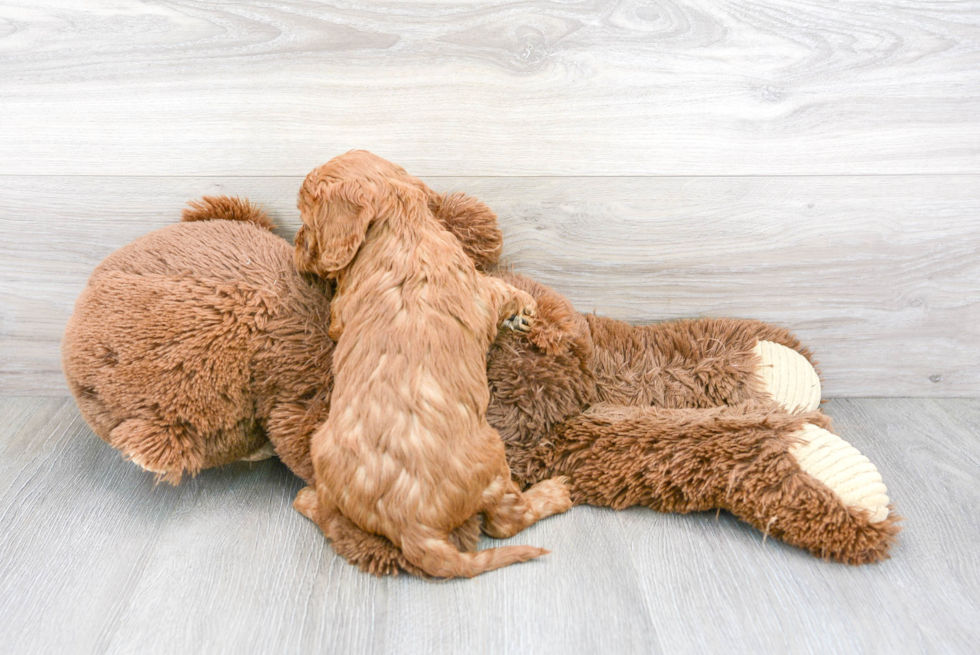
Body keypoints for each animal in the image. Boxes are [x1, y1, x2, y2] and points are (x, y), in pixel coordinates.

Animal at [290, 150, 576, 580]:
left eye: (306, 216)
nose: (294, 249)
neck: (403, 231)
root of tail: (412, 528)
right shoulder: (480, 290)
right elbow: (504, 288)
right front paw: (525, 307)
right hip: (493, 461)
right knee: (507, 522)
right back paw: (555, 492)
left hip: (322, 448)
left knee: (330, 514)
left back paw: (306, 498)